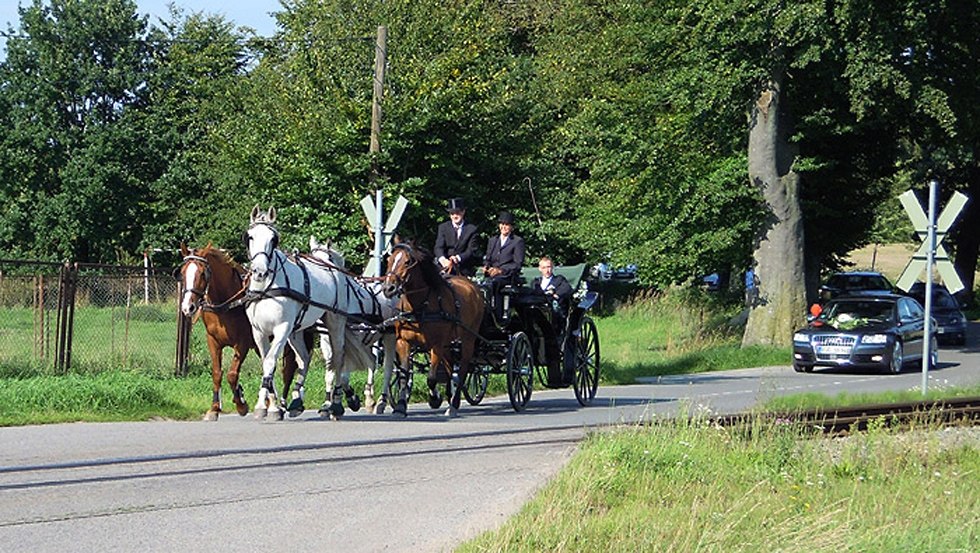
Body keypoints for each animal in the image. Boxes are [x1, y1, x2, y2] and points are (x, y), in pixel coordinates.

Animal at [176, 244, 298, 420]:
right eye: (183, 272)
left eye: (202, 273)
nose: (188, 307)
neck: (226, 303)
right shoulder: (213, 341)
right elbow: (217, 373)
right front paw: (214, 408)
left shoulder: (242, 344)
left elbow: (232, 374)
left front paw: (241, 404)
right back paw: (270, 402)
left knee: (287, 371)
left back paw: (281, 405)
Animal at [247, 206, 378, 418]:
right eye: (250, 236)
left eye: (274, 239)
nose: (260, 271)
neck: (267, 288)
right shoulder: (258, 332)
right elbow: (267, 364)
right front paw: (272, 405)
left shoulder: (282, 329)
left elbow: (270, 362)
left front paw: (263, 406)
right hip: (300, 331)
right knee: (305, 359)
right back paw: (297, 400)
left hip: (335, 321)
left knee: (338, 357)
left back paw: (336, 403)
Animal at [306, 237, 398, 414]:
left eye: (326, 260)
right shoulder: (327, 342)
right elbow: (330, 372)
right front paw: (329, 403)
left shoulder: (354, 338)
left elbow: (343, 370)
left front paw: (349, 398)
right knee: (372, 360)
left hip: (389, 335)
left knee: (388, 367)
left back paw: (380, 400)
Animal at [378, 239, 482, 416]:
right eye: (389, 260)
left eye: (407, 262)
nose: (388, 288)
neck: (420, 307)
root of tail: (473, 286)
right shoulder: (403, 342)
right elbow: (404, 375)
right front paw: (400, 406)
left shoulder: (437, 345)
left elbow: (432, 378)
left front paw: (434, 398)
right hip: (449, 345)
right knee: (450, 369)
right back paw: (450, 398)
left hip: (468, 340)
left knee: (462, 371)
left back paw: (453, 404)